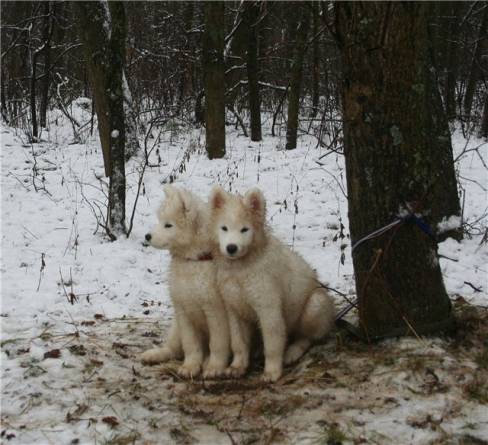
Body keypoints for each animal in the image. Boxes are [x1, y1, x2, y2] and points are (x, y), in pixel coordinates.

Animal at [141, 185, 231, 378]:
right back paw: (154, 355)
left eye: (168, 225)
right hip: (175, 327)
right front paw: (190, 367)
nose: (147, 236)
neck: (192, 261)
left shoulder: (216, 311)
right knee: (173, 348)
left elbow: (218, 343)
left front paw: (214, 367)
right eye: (160, 221)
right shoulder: (182, 309)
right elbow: (191, 344)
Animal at [210, 186, 336, 382]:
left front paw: (271, 372)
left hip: (315, 304)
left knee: (307, 336)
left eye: (244, 229)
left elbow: (273, 341)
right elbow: (238, 341)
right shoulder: (233, 306)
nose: (231, 248)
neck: (242, 268)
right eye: (224, 228)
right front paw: (237, 367)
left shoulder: (268, 305)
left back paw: (292, 352)